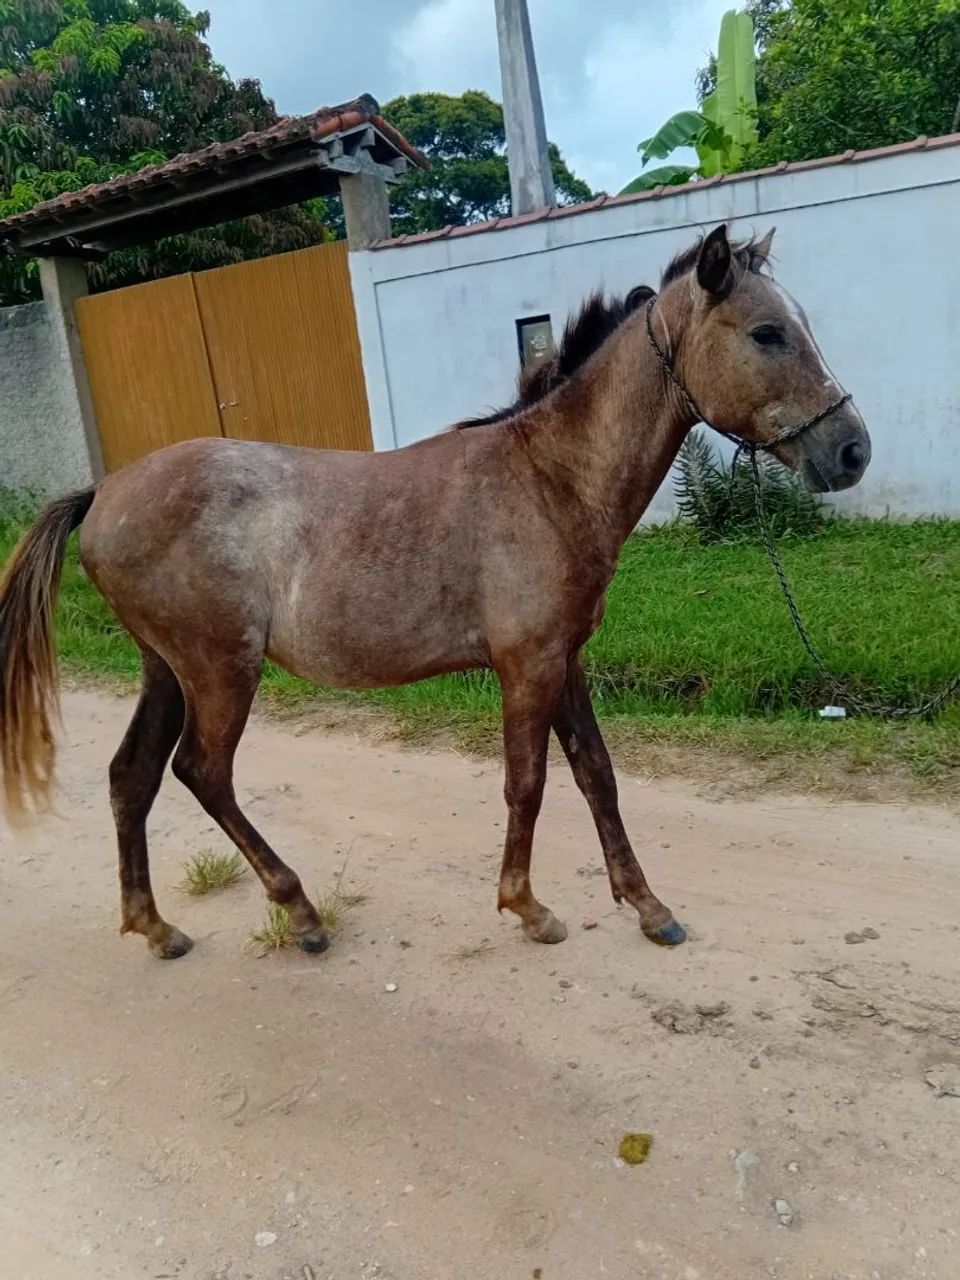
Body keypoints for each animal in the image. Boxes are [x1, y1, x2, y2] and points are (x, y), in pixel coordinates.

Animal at [0, 224, 870, 961]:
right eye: (767, 333)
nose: (851, 450)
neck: (548, 478)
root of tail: (102, 493)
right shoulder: (525, 666)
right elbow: (528, 782)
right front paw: (528, 907)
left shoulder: (564, 660)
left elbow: (597, 773)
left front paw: (648, 907)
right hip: (219, 671)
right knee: (201, 773)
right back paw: (300, 912)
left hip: (166, 671)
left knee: (132, 776)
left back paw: (155, 926)